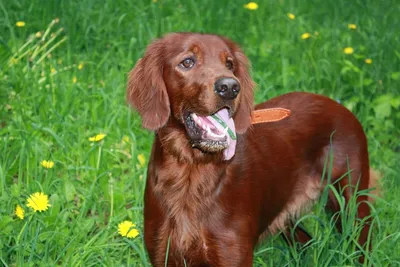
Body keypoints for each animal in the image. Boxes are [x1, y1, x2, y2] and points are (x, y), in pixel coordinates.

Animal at [127, 32, 376, 266]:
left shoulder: (233, 255)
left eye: (229, 64)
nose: (230, 87)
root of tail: (340, 106)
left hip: (351, 202)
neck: (192, 172)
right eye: (187, 62)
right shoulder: (164, 254)